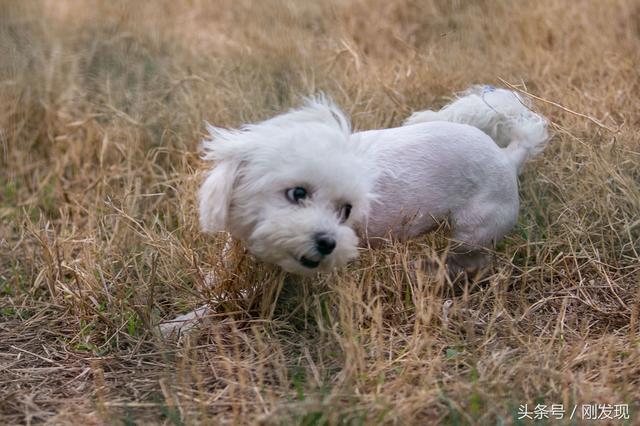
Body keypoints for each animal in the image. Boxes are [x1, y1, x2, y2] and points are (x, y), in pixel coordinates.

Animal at [200, 85, 552, 274]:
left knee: (464, 263)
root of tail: (508, 156)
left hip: (472, 233)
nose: (327, 242)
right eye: (297, 193)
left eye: (346, 210)